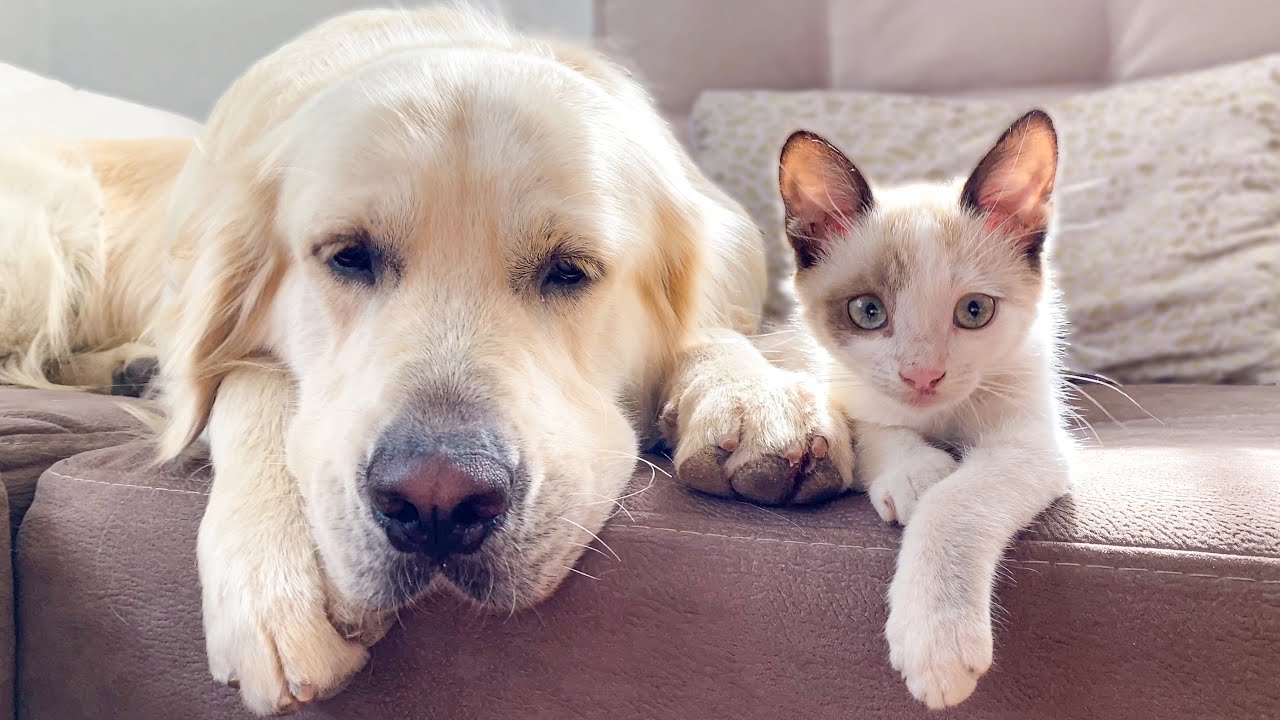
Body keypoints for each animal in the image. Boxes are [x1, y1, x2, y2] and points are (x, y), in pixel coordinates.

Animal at [2, 7, 860, 712]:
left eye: (570, 271)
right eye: (347, 256)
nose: (437, 503)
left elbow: (714, 333)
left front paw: (754, 394)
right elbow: (248, 378)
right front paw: (287, 561)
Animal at [773, 110, 1075, 707]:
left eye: (975, 311)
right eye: (868, 312)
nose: (922, 376)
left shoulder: (1033, 441)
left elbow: (956, 501)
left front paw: (936, 645)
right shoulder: (845, 385)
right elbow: (873, 426)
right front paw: (917, 473)